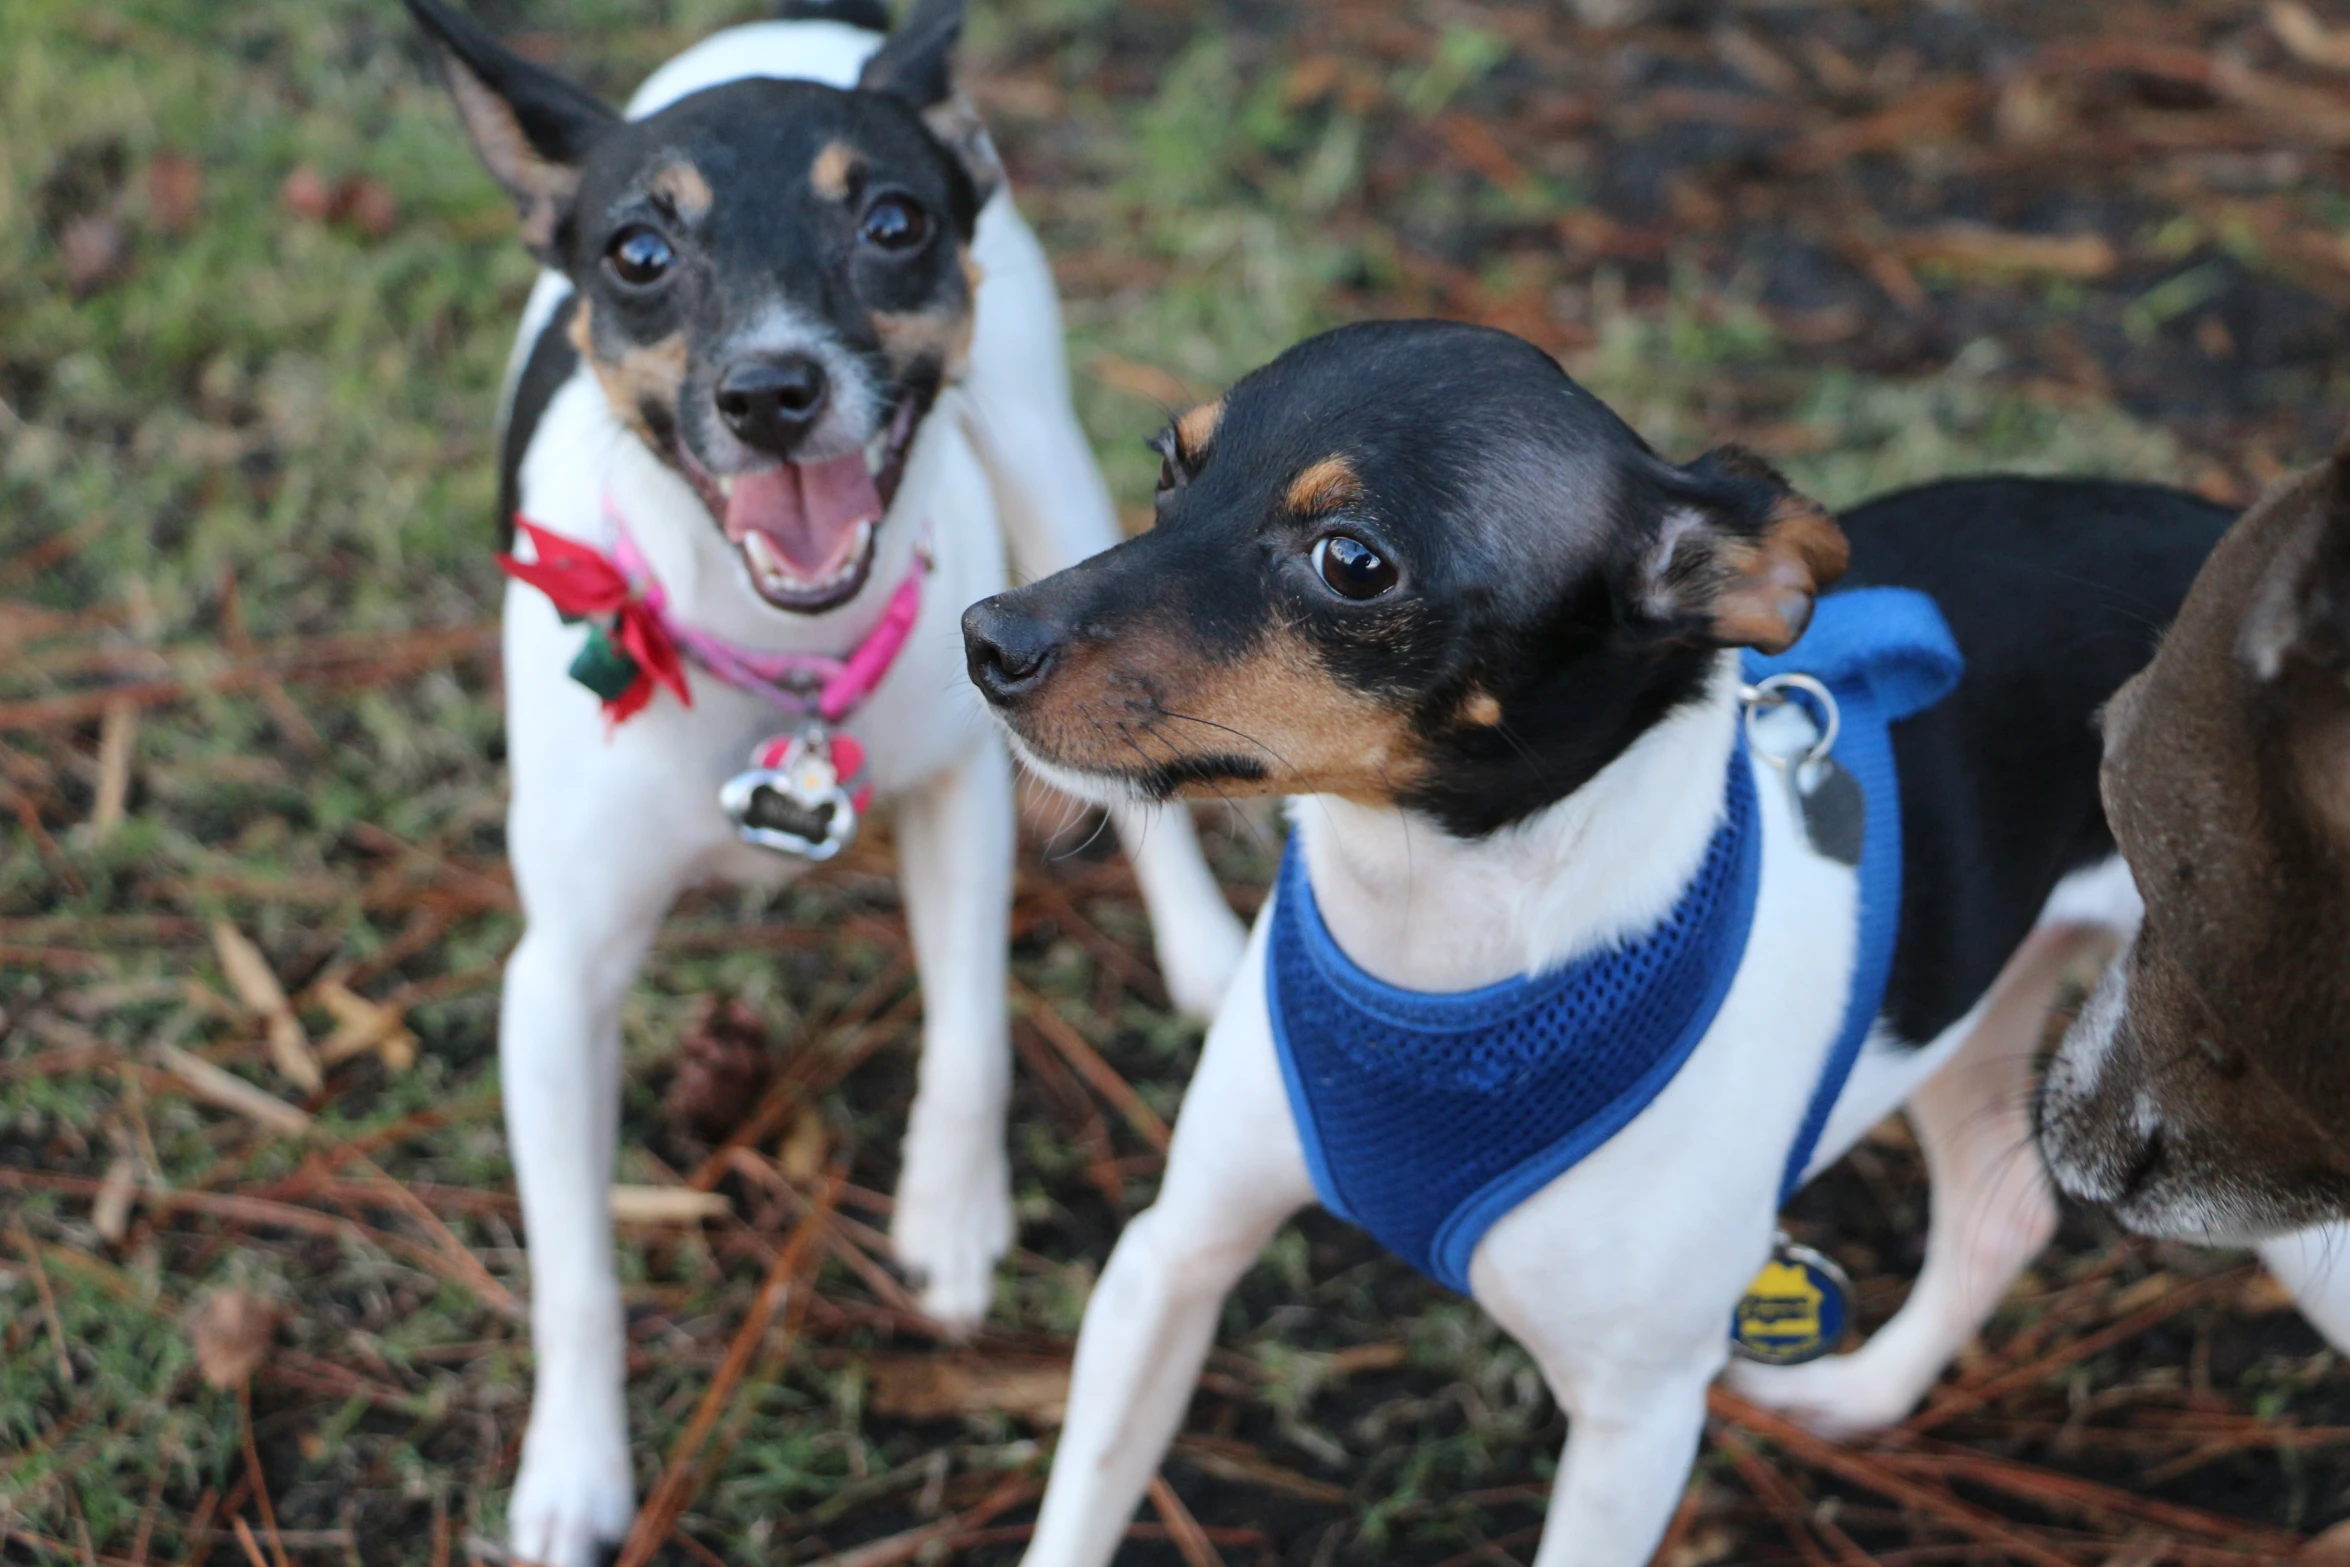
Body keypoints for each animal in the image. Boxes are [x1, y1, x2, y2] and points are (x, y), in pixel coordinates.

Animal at [401, 6, 1250, 1559]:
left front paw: (950, 1221)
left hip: (1047, 463)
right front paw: (572, 1469)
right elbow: (575, 1267)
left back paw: (1206, 953)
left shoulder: (961, 805)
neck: (779, 657)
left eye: (893, 222)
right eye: (637, 252)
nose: (770, 392)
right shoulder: (555, 981)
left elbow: (970, 1038)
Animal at [963, 321, 2265, 1567]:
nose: (986, 634)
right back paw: (1861, 1394)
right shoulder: (1168, 1261)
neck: (1440, 949)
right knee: (2003, 1220)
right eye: (1169, 467)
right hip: (1971, 1011)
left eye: (1352, 561)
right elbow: (1078, 1516)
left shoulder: (1634, 1424)